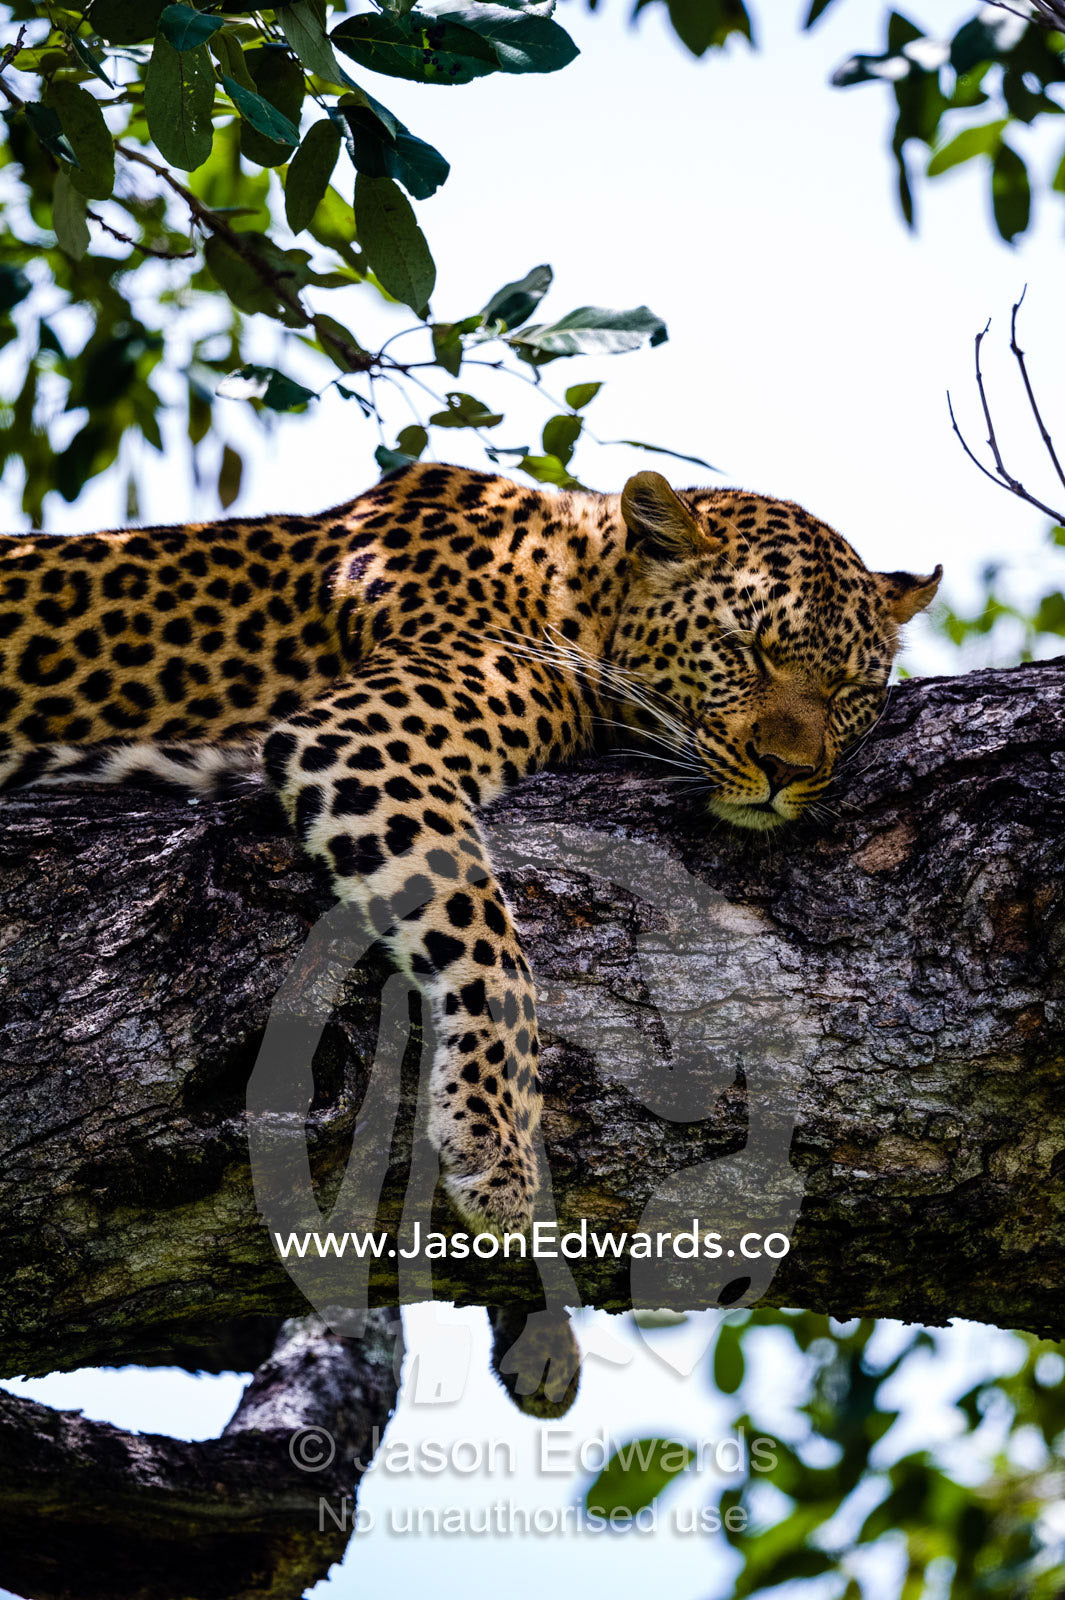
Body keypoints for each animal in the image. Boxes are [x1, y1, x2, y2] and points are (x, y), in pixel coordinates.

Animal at [0, 461, 941, 1245]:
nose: (790, 771)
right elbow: (488, 943)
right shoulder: (362, 740)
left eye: (850, 691)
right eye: (744, 649)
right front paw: (497, 1138)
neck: (582, 581)